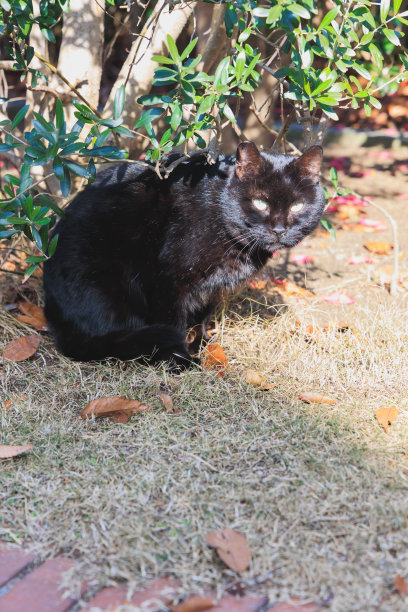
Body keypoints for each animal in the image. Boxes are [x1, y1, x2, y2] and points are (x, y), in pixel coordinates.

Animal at [43, 141, 326, 366]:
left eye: (297, 205)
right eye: (260, 202)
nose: (279, 230)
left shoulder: (210, 288)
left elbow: (201, 317)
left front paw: (201, 343)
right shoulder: (168, 280)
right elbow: (173, 323)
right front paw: (179, 360)